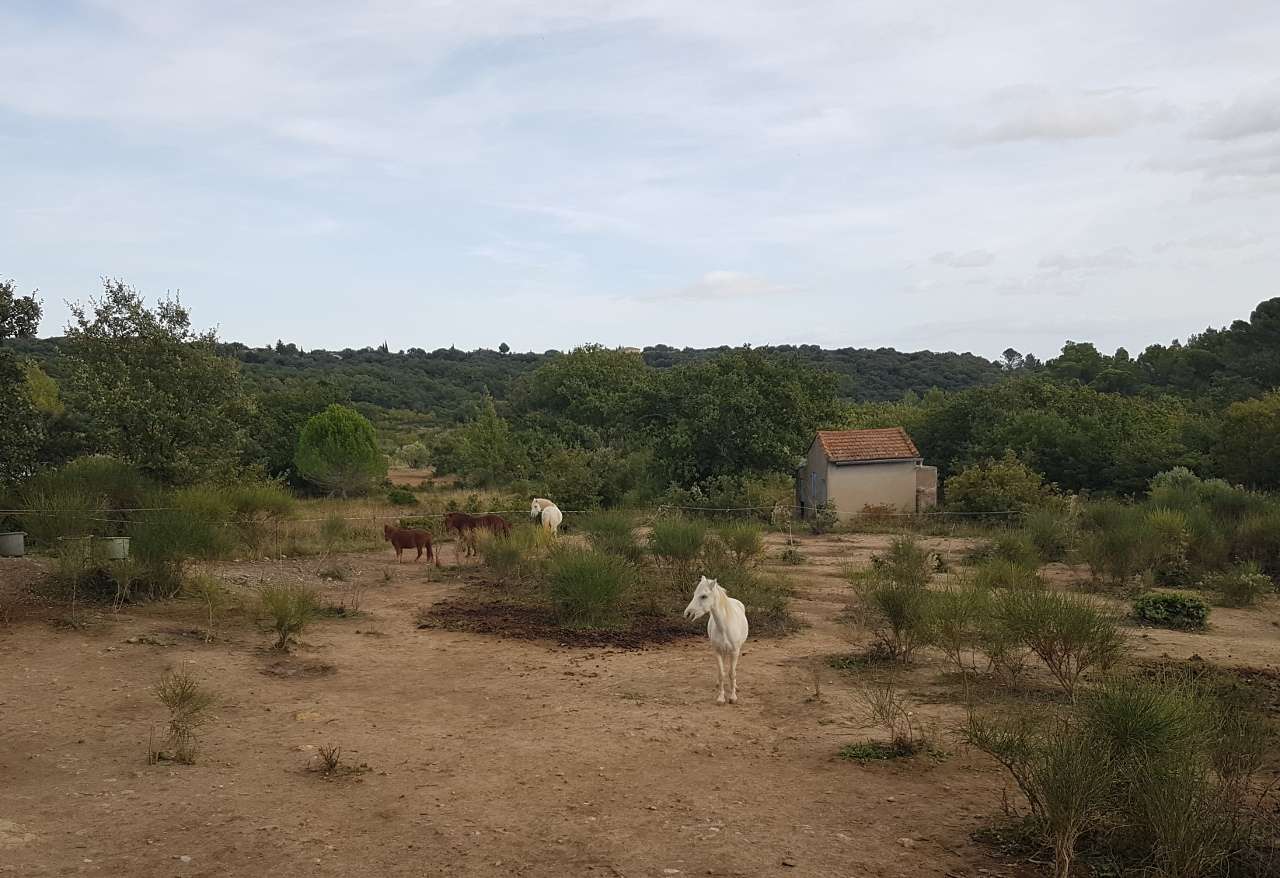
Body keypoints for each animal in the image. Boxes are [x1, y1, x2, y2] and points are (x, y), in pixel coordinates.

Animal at [683, 575, 749, 705]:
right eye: (694, 594)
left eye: (704, 596)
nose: (687, 614)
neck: (725, 627)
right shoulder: (717, 651)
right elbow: (721, 673)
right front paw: (721, 698)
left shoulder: (734, 652)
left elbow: (732, 673)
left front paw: (733, 697)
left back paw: (735, 686)